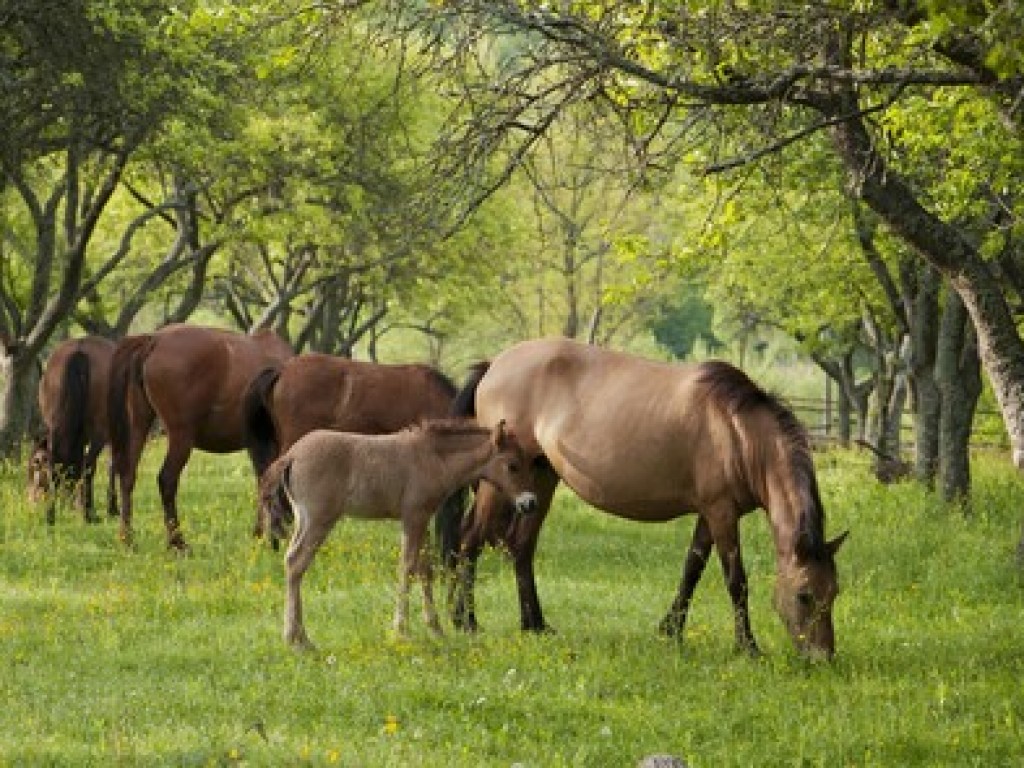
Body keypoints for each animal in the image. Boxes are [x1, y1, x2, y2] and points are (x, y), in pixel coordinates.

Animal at [31, 335, 117, 524]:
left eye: (35, 463)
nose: (32, 499)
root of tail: (79, 351)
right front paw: (110, 508)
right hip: (98, 432)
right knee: (88, 465)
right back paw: (88, 513)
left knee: (59, 463)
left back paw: (52, 515)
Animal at [107, 321, 292, 548]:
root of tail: (155, 339)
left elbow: (263, 480)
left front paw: (260, 533)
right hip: (181, 437)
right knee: (166, 480)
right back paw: (177, 542)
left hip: (139, 425)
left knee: (127, 475)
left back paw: (128, 539)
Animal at [258, 421, 536, 651]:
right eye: (513, 465)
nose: (530, 503)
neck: (432, 458)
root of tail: (292, 455)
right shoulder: (414, 517)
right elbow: (407, 567)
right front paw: (401, 631)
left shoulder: (420, 520)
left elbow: (424, 569)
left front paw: (436, 629)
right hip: (319, 519)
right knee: (297, 562)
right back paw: (297, 640)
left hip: (302, 519)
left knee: (290, 560)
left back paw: (298, 636)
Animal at [448, 337, 847, 663]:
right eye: (804, 595)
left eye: (834, 592)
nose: (822, 657)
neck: (738, 431)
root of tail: (493, 364)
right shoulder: (721, 513)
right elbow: (736, 580)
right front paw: (747, 647)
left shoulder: (710, 513)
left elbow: (691, 570)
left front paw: (671, 631)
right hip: (499, 484)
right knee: (469, 541)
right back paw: (466, 621)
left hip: (541, 477)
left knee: (521, 546)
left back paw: (535, 624)